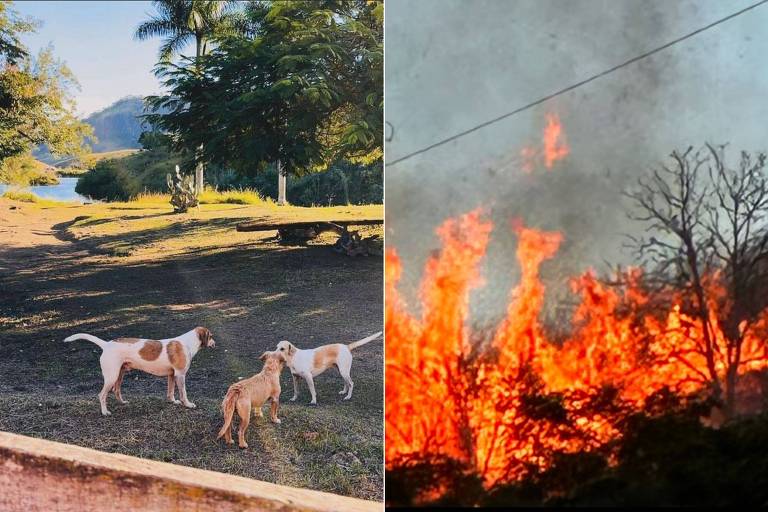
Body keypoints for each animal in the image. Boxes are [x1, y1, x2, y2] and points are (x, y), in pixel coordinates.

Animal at [63, 328, 216, 416]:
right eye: (211, 336)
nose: (215, 344)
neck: (188, 343)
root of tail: (106, 344)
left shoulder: (172, 375)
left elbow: (171, 391)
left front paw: (173, 401)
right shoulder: (180, 375)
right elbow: (184, 393)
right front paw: (188, 405)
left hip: (120, 375)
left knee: (116, 390)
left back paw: (123, 402)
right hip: (112, 377)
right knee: (102, 395)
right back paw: (105, 412)